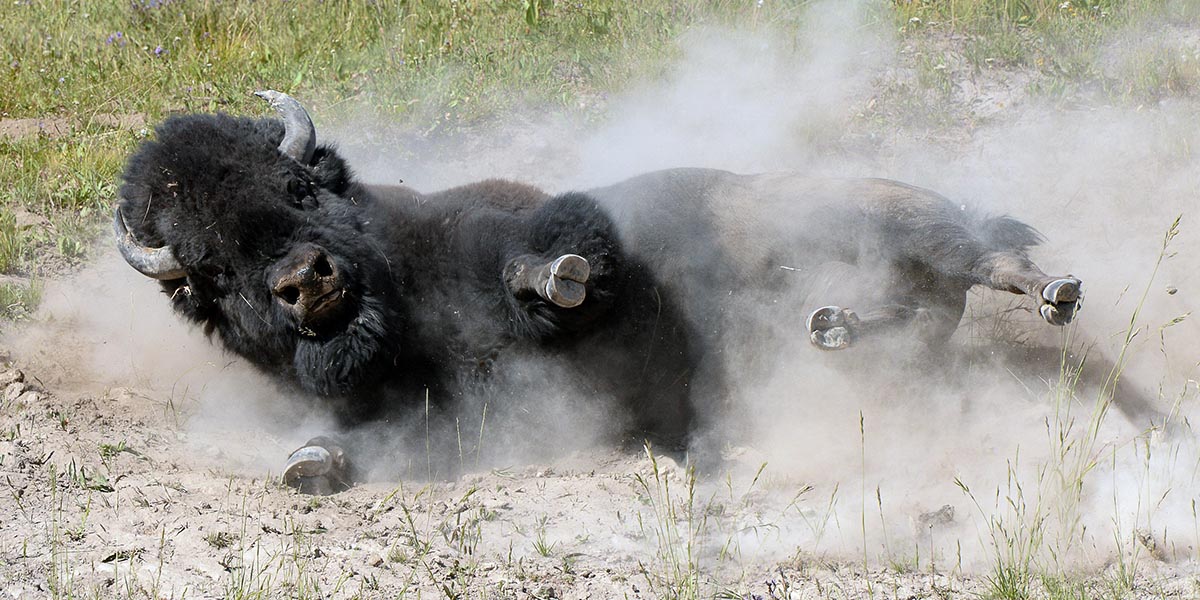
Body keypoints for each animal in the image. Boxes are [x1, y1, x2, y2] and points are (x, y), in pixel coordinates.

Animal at [114, 91, 1082, 494]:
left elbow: (551, 263)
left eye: (297, 190)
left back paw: (1058, 293)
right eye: (211, 270)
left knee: (982, 260)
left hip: (880, 221)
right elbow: (361, 443)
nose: (303, 283)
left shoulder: (513, 223)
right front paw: (307, 462)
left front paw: (559, 277)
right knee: (924, 315)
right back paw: (833, 326)